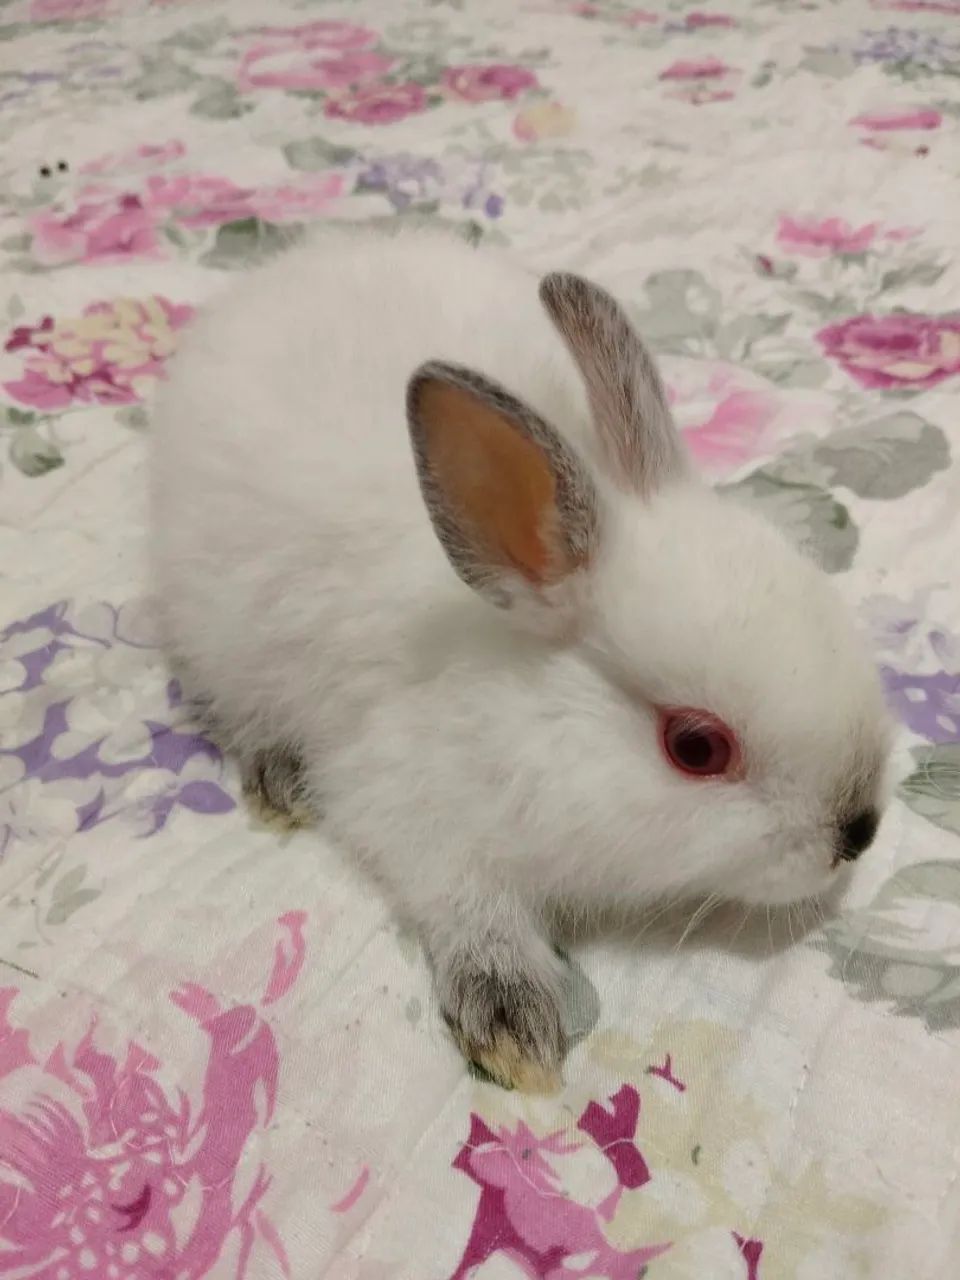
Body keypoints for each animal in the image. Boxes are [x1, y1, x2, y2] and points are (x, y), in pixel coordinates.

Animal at [149, 226, 893, 1092]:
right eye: (696, 747)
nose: (858, 832)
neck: (517, 698)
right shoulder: (407, 806)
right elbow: (471, 908)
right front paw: (513, 1022)